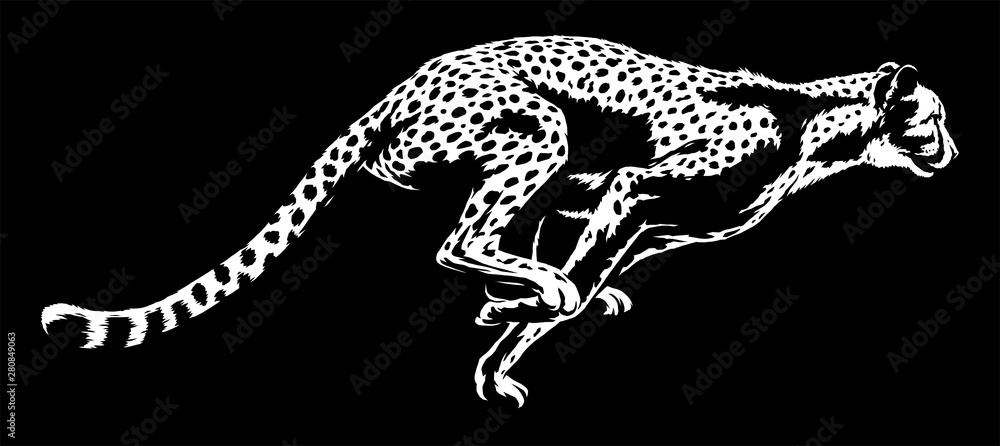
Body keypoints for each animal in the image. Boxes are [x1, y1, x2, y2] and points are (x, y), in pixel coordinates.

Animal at [40, 35, 957, 406]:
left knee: (495, 241)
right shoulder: (631, 187)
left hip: (542, 164)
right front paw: (516, 319)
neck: (813, 128)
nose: (953, 151)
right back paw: (520, 284)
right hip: (541, 129)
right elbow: (567, 290)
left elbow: (581, 278)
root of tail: (405, 83)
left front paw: (500, 348)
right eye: (933, 118)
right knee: (461, 242)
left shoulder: (625, 215)